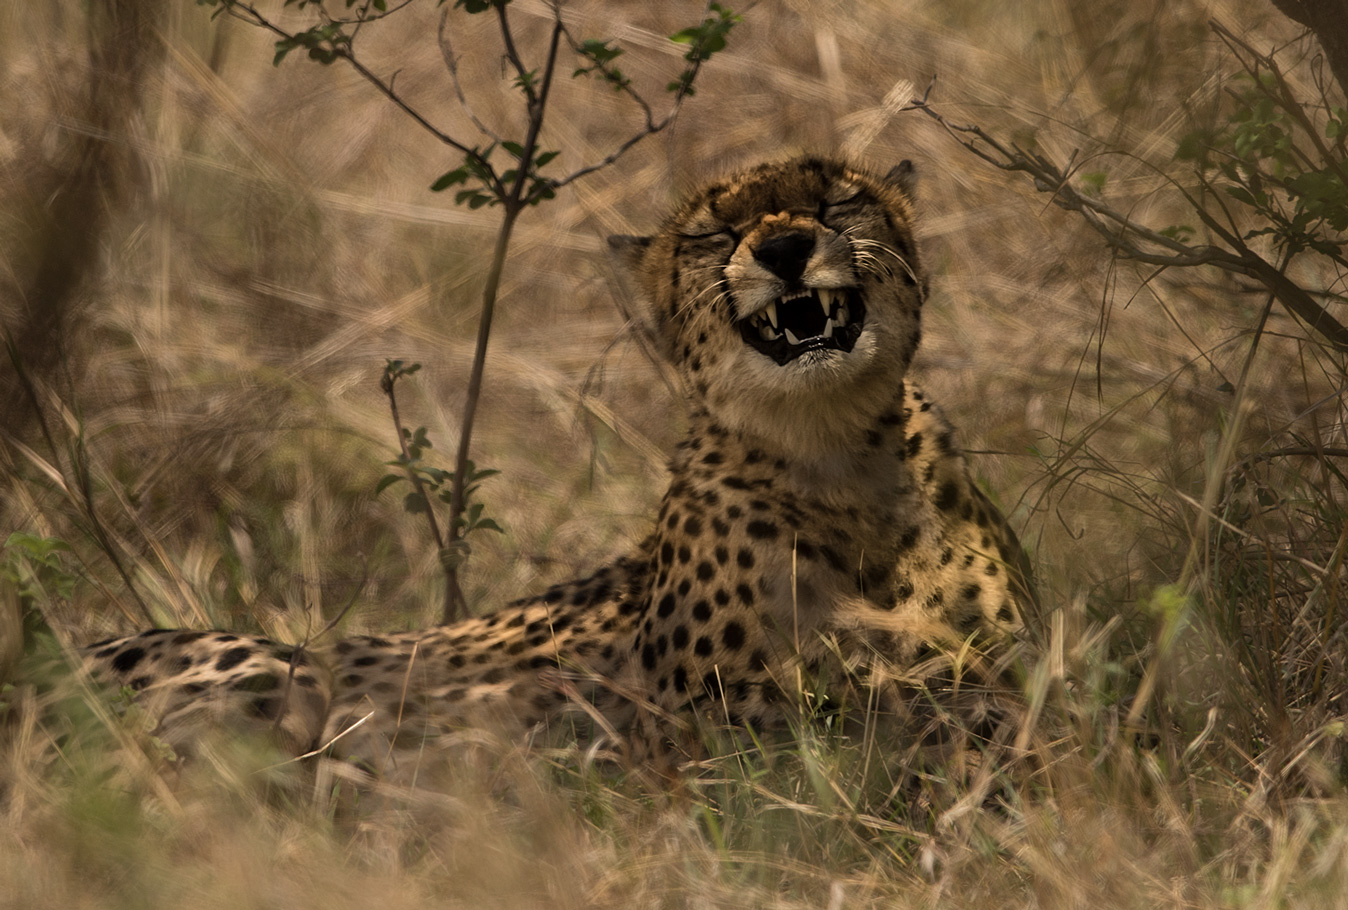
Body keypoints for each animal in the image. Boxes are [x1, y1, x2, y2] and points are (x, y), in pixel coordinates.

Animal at [76, 156, 1029, 776]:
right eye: (716, 233)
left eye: (836, 202)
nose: (785, 249)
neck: (833, 457)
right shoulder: (703, 749)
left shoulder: (999, 696)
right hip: (272, 672)